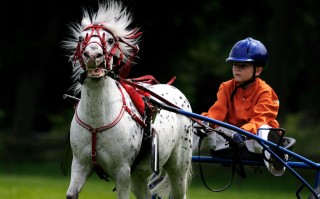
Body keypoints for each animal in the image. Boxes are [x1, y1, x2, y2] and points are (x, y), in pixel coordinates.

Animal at [62, 0, 192, 198]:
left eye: (109, 40)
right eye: (80, 38)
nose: (92, 55)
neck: (96, 122)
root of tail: (176, 91)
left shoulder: (122, 171)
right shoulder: (80, 164)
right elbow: (72, 193)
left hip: (178, 168)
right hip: (138, 176)